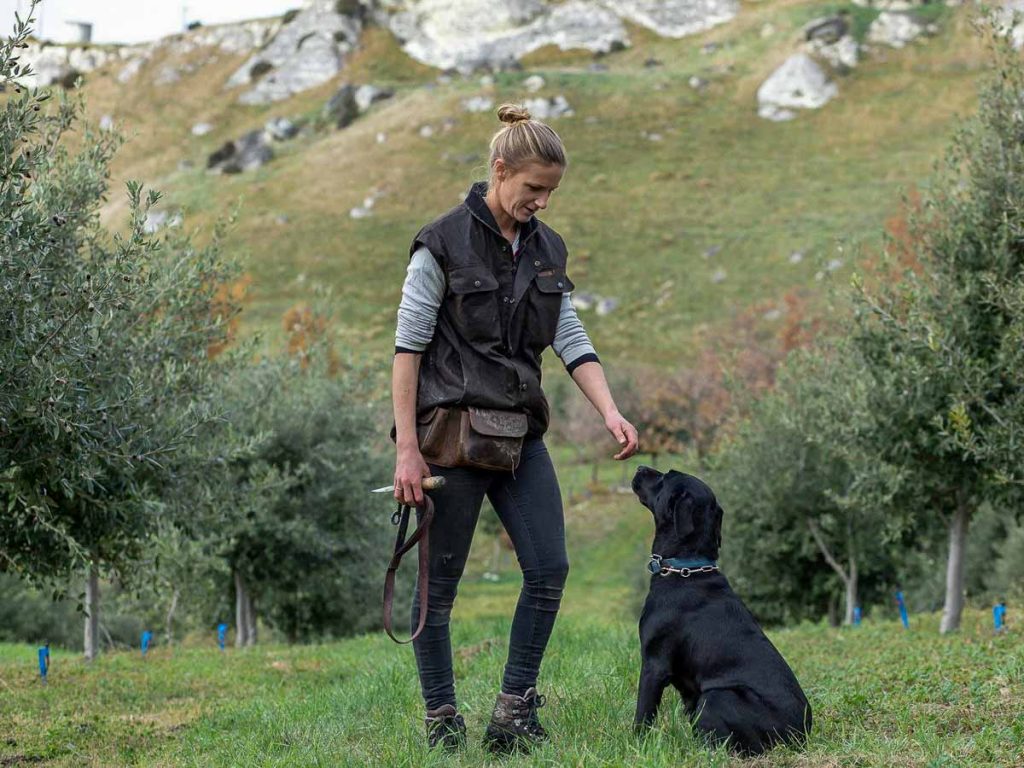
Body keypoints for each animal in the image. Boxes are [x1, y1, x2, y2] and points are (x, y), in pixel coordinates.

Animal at [626, 466, 811, 753]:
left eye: (666, 477)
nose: (639, 467)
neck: (686, 568)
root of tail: (799, 736)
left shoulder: (654, 664)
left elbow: (643, 714)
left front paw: (635, 745)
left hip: (715, 697)